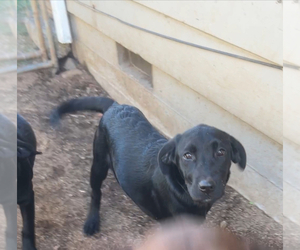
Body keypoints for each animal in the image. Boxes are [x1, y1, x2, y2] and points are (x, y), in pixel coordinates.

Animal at [51, 96, 246, 235]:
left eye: (221, 152)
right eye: (187, 155)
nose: (206, 187)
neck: (181, 187)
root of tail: (116, 106)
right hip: (98, 164)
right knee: (95, 192)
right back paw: (92, 221)